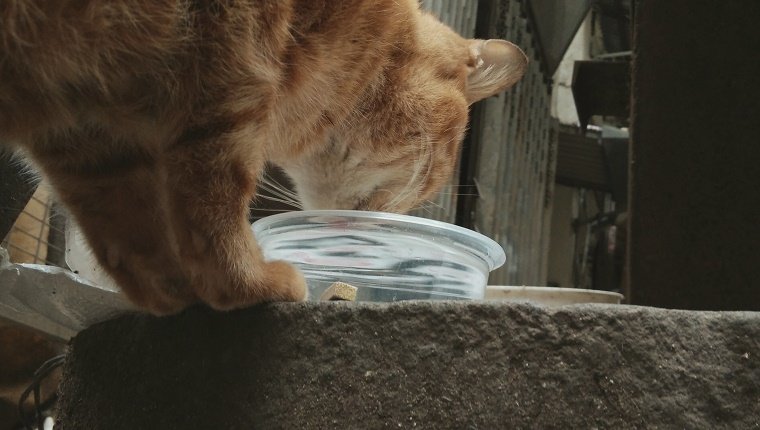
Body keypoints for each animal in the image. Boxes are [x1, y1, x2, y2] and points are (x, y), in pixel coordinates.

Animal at [0, 0, 524, 316]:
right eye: (427, 179)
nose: (368, 228)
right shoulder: (232, 65)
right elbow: (214, 212)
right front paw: (252, 286)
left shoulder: (84, 134)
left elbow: (131, 243)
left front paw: (176, 298)